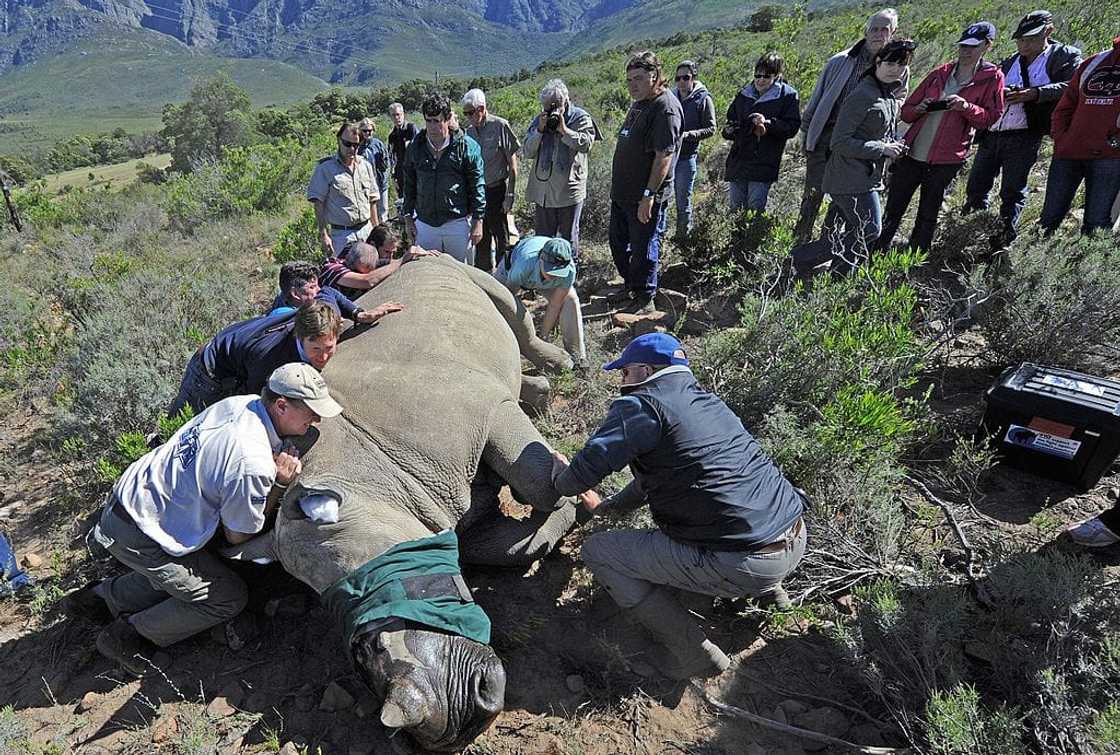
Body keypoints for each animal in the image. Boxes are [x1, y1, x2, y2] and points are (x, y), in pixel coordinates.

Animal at [237, 255, 586, 748]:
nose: (448, 724)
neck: (366, 475)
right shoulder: (441, 507)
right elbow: (503, 547)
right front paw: (553, 522)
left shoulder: (480, 409)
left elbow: (537, 480)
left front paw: (571, 502)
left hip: (457, 268)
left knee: (510, 310)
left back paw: (560, 372)